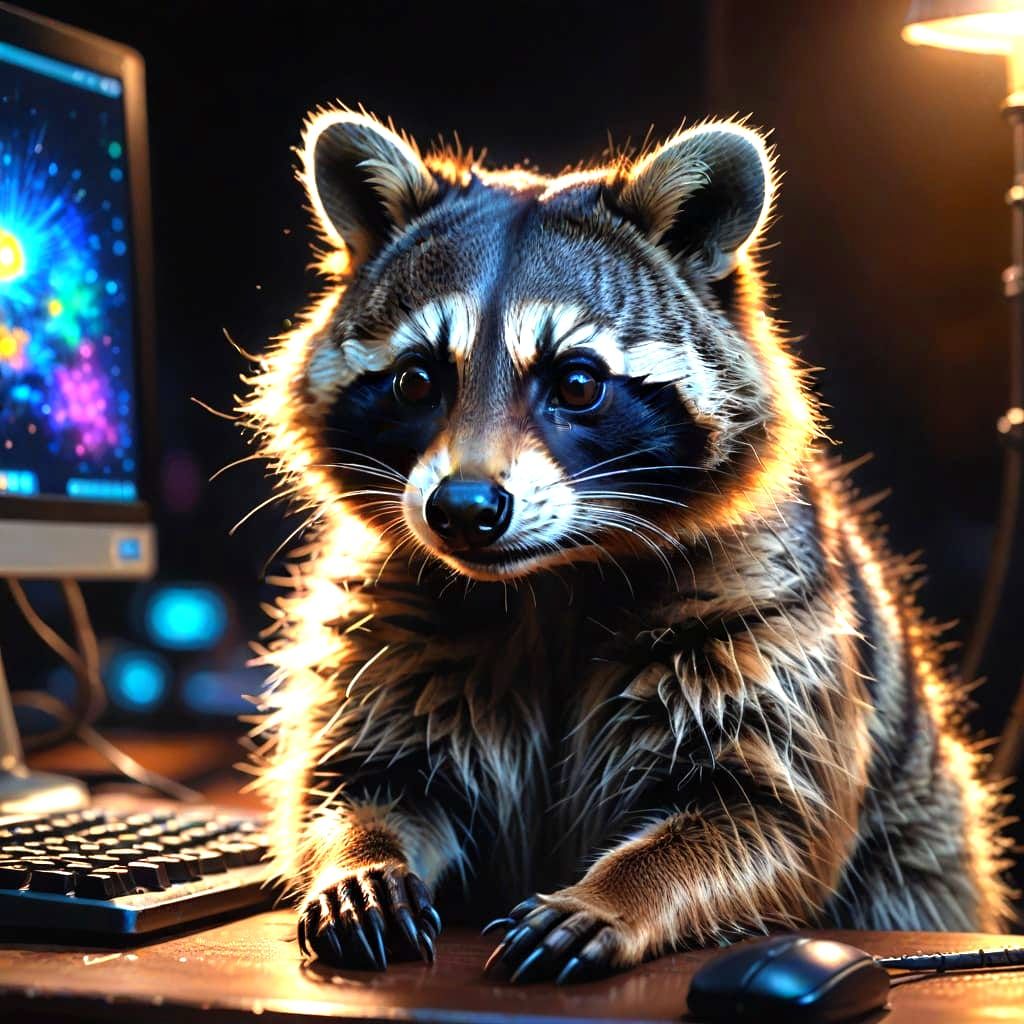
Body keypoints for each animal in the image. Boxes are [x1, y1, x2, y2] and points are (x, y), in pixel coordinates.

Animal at [239, 108, 1013, 982]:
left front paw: (623, 890)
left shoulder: (768, 612)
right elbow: (363, 777)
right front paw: (362, 853)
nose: (463, 510)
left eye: (576, 382)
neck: (549, 575)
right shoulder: (385, 612)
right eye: (415, 380)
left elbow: (767, 815)